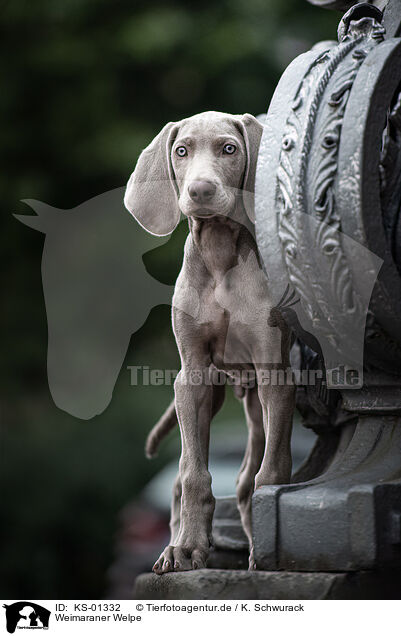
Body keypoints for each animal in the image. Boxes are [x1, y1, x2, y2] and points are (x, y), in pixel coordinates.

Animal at [123, 112, 296, 572]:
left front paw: (268, 555)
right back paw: (174, 542)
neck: (218, 256)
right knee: (186, 477)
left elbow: (271, 473)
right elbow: (193, 473)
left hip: (256, 401)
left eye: (229, 148)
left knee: (248, 477)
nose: (200, 190)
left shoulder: (274, 372)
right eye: (182, 151)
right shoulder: (193, 375)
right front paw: (187, 549)